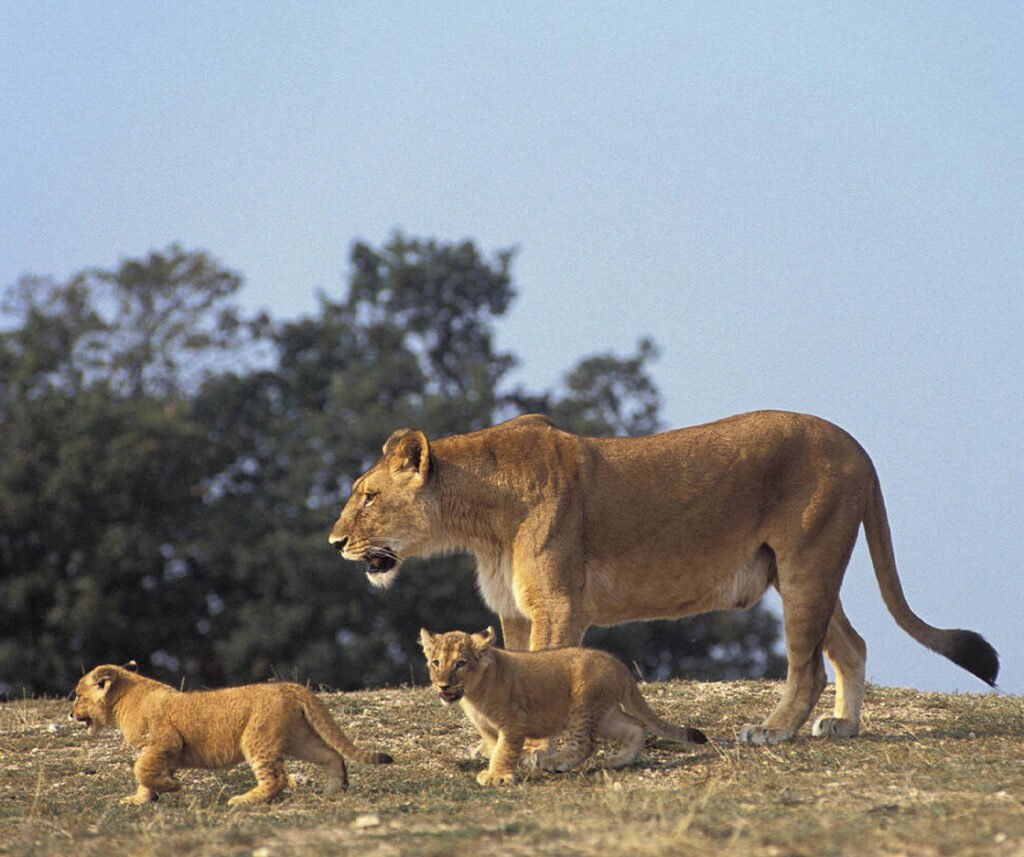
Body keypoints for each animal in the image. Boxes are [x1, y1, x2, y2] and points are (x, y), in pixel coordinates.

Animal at [70, 663, 394, 806]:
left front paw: (172, 787)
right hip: (297, 739)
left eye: (77, 695)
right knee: (331, 754)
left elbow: (141, 769)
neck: (122, 700)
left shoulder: (165, 741)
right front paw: (141, 799)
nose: (70, 713)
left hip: (256, 739)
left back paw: (243, 800)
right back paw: (334, 790)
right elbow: (145, 775)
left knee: (276, 778)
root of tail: (288, 685)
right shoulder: (163, 750)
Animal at [330, 411, 999, 745]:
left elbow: (549, 672)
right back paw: (844, 726)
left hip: (808, 561)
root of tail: (856, 444)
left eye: (368, 496)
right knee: (851, 646)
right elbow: (514, 676)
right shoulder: (516, 611)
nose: (335, 542)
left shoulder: (558, 605)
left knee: (806, 664)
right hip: (799, 571)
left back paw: (774, 731)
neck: (480, 519)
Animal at [420, 627, 707, 785]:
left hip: (582, 708)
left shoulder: (515, 722)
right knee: (635, 726)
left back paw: (555, 762)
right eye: (436, 662)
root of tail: (619, 665)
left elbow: (505, 750)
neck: (473, 694)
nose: (443, 685)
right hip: (605, 715)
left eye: (460, 664)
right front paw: (498, 769)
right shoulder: (488, 729)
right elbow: (496, 749)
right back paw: (617, 761)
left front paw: (498, 776)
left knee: (586, 744)